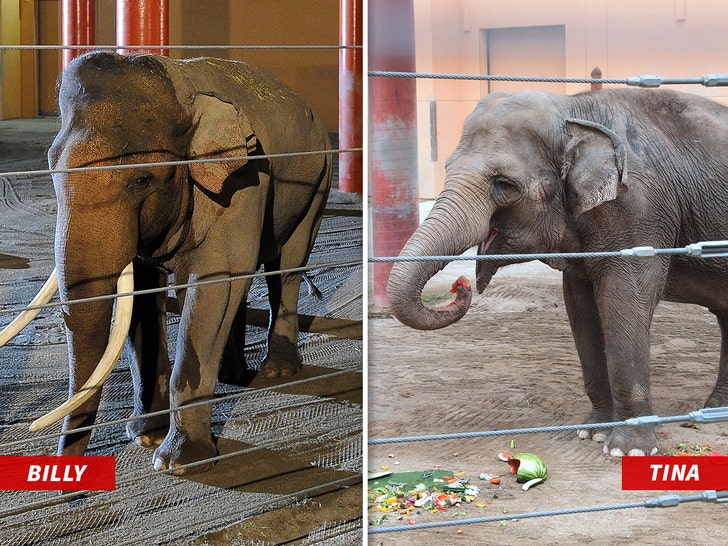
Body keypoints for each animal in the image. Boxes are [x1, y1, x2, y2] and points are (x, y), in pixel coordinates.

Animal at [1, 51, 332, 473]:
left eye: (141, 180)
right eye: (50, 167)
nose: (65, 473)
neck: (181, 89)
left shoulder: (244, 181)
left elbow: (215, 285)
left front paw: (179, 462)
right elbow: (143, 298)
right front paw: (146, 437)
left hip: (317, 178)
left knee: (287, 266)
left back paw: (276, 371)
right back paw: (233, 375)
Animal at [387, 87, 728, 457]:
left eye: (504, 184)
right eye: (447, 168)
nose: (459, 286)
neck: (573, 108)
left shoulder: (640, 213)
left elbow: (624, 301)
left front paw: (628, 451)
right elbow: (581, 309)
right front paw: (592, 432)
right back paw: (717, 412)